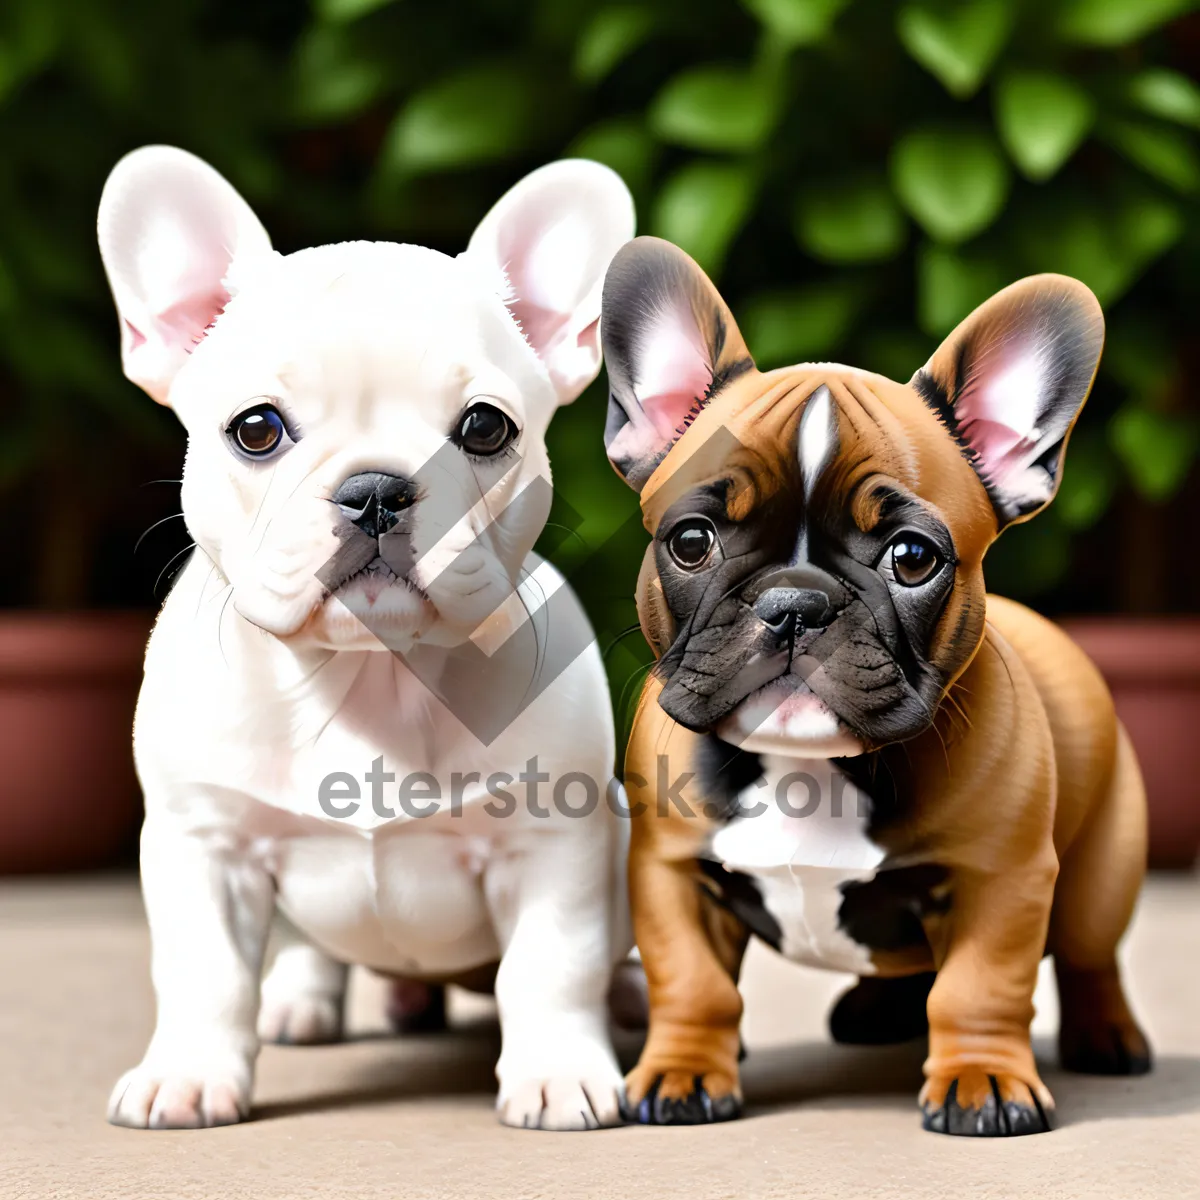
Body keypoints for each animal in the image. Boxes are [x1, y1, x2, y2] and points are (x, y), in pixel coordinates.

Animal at [97, 145, 638, 1128]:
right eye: (257, 429)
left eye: (486, 427)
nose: (378, 489)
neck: (371, 675)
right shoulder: (205, 845)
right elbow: (204, 973)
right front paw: (188, 1074)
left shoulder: (552, 846)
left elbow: (552, 967)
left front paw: (558, 1072)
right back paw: (305, 999)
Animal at [604, 238, 1147, 1137]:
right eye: (690, 541)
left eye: (913, 557)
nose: (795, 602)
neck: (807, 769)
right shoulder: (670, 872)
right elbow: (693, 983)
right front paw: (681, 1069)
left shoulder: (1000, 879)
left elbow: (980, 988)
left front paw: (982, 1080)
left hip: (1106, 862)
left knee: (1089, 955)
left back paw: (1108, 1035)